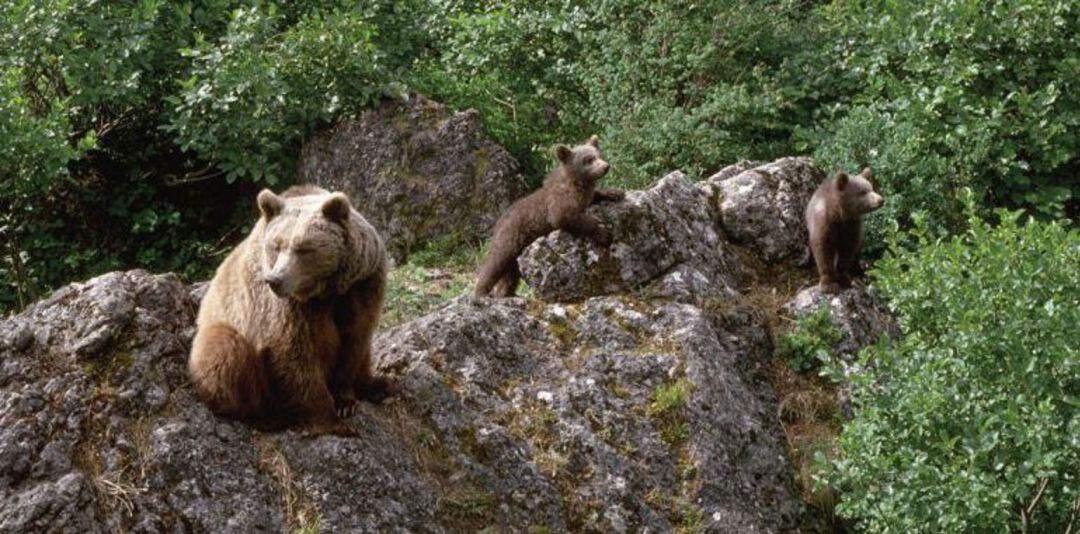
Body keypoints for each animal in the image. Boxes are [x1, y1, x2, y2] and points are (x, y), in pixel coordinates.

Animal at [190, 185, 388, 436]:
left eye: (303, 248)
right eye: (276, 246)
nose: (275, 279)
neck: (326, 290)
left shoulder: (362, 286)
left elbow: (355, 339)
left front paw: (345, 401)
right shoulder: (287, 308)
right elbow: (295, 352)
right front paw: (334, 422)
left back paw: (377, 385)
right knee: (225, 351)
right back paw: (266, 417)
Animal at [475, 134, 622, 296]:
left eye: (598, 155)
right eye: (588, 159)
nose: (605, 166)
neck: (577, 184)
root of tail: (497, 224)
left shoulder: (583, 196)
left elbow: (594, 196)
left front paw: (614, 193)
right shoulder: (559, 203)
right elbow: (565, 217)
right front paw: (603, 233)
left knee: (510, 275)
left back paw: (505, 293)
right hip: (509, 238)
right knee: (494, 264)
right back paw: (481, 292)